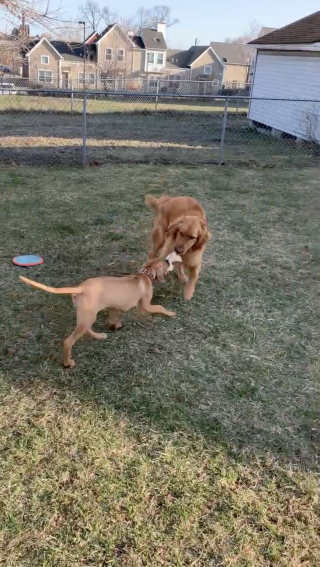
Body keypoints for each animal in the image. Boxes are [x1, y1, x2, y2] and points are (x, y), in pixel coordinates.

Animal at [19, 256, 180, 368]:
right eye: (164, 263)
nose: (168, 259)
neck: (144, 275)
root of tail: (81, 288)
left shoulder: (113, 307)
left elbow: (114, 317)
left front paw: (115, 326)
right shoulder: (146, 306)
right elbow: (160, 307)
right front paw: (171, 314)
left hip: (87, 315)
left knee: (87, 329)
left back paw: (100, 336)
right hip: (88, 316)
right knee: (68, 342)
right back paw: (67, 363)